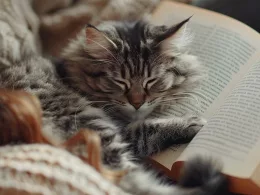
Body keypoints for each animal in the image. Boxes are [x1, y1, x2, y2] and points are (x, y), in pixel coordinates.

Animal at [0, 18, 228, 195]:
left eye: (151, 81)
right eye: (120, 82)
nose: (137, 103)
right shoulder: (115, 127)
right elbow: (148, 129)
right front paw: (193, 123)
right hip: (90, 127)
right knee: (134, 184)